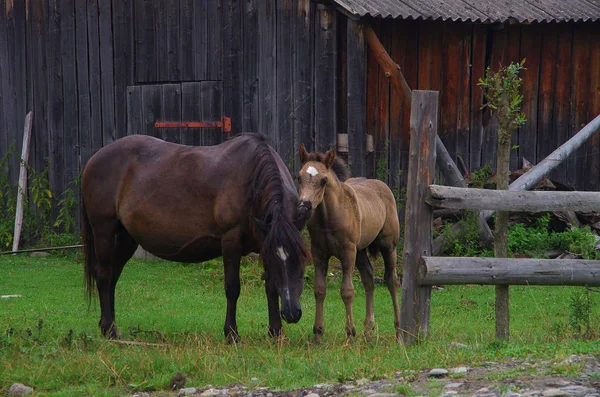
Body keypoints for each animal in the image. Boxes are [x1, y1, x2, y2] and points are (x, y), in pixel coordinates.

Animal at [81, 133, 308, 340]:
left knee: (113, 276)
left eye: (302, 260)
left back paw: (109, 326)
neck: (250, 180)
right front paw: (232, 334)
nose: (292, 313)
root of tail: (94, 159)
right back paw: (110, 330)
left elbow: (271, 286)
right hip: (104, 231)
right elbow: (233, 288)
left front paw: (275, 332)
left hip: (126, 238)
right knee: (103, 275)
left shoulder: (265, 242)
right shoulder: (231, 240)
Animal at [296, 144, 400, 342]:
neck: (328, 218)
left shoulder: (347, 252)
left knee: (392, 281)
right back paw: (368, 329)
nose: (304, 206)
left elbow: (347, 291)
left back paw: (399, 330)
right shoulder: (319, 253)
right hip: (360, 252)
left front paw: (350, 333)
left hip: (388, 246)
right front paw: (318, 334)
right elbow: (319, 290)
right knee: (369, 279)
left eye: (323, 180)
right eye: (299, 177)